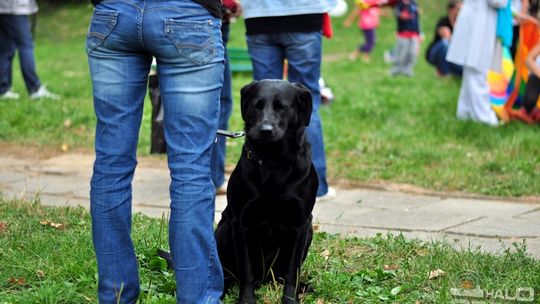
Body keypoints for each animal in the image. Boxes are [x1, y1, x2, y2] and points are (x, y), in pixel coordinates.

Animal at [214, 79, 318, 302]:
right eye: (257, 105)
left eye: (282, 107)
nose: (265, 129)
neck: (273, 161)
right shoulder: (240, 222)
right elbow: (246, 270)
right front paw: (246, 299)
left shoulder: (301, 224)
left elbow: (292, 272)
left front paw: (290, 299)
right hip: (224, 229)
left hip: (309, 232)